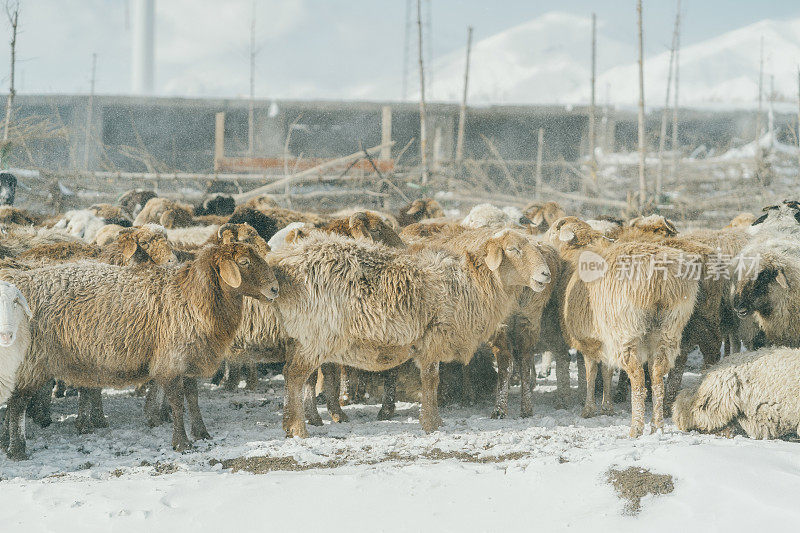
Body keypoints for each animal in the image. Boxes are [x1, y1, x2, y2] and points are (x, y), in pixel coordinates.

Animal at [1, 241, 278, 458]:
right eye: (244, 262)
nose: (275, 289)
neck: (192, 297)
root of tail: (23, 282)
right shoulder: (171, 361)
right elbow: (177, 402)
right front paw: (182, 443)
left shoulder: (188, 360)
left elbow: (193, 399)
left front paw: (202, 433)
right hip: (30, 361)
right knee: (17, 404)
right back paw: (17, 449)